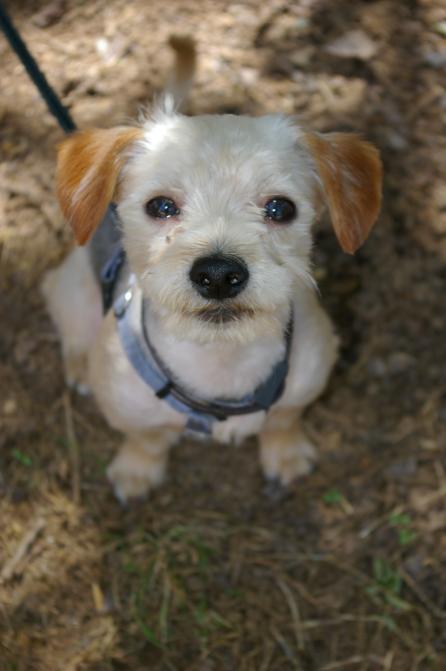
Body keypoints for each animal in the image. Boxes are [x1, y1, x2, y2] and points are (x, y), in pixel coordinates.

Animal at [42, 37, 382, 502]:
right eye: (161, 206)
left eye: (280, 208)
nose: (218, 275)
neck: (222, 362)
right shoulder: (131, 410)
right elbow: (145, 439)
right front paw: (136, 471)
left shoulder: (305, 385)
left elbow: (283, 421)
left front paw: (286, 456)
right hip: (71, 292)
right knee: (74, 333)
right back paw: (79, 366)